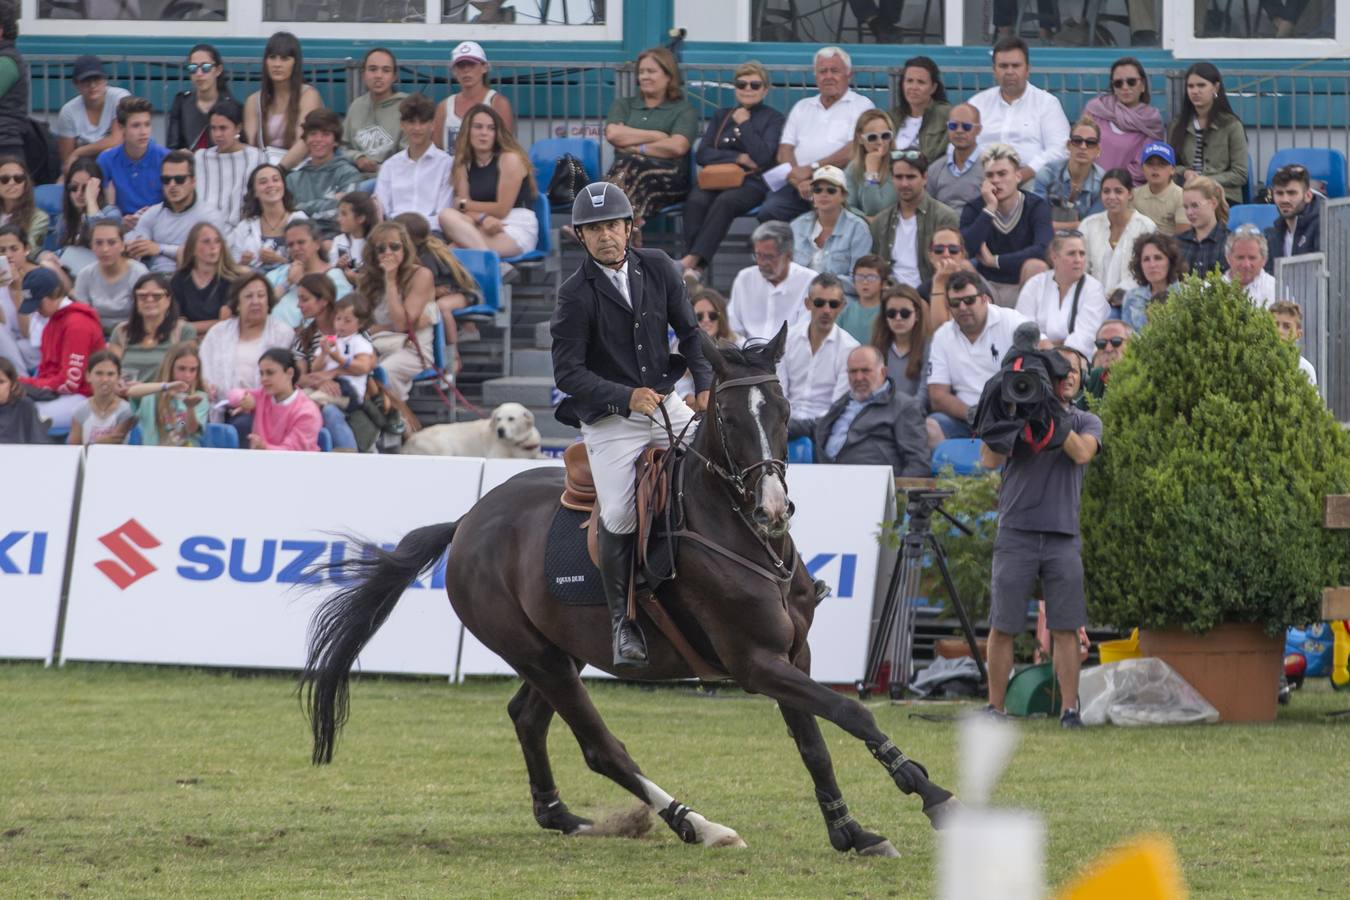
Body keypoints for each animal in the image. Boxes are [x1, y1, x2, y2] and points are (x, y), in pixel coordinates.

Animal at [303, 329, 961, 858]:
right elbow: (850, 712)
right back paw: (697, 825)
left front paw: (852, 833)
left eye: (782, 410)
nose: (773, 510)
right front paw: (930, 793)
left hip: (557, 652)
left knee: (527, 717)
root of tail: (467, 521)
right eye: (727, 418)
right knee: (602, 748)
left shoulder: (792, 656)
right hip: (537, 654)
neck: (743, 536)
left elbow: (814, 743)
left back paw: (564, 817)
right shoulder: (755, 663)